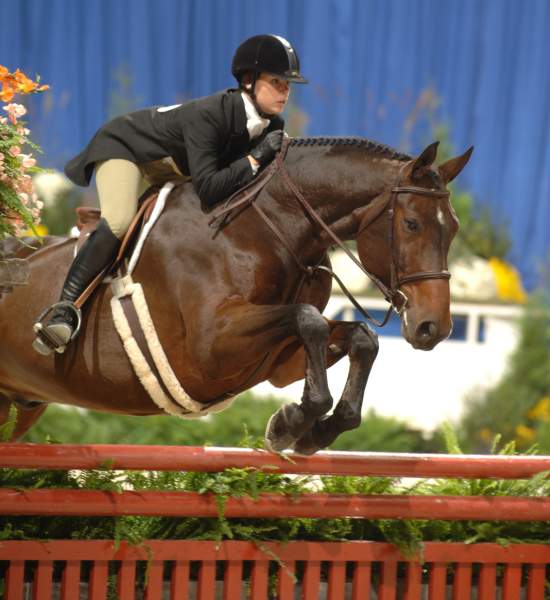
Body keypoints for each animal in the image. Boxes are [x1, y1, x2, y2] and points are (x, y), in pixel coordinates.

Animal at [0, 137, 474, 454]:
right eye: (412, 223)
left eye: (453, 227)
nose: (434, 327)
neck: (267, 227)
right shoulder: (208, 351)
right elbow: (308, 318)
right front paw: (290, 423)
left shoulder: (280, 363)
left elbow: (360, 337)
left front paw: (318, 429)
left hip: (21, 406)